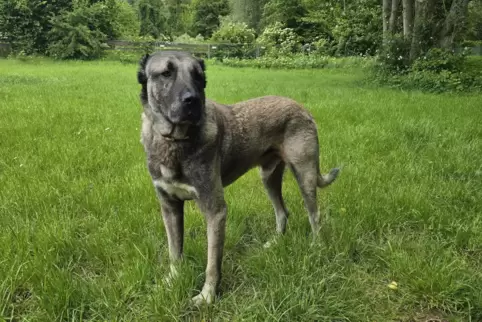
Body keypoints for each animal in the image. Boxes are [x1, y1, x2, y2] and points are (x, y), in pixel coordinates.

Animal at [136, 50, 338, 304]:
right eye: (166, 73)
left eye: (198, 76)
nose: (193, 100)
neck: (175, 141)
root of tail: (301, 107)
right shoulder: (169, 207)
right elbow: (175, 252)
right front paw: (172, 281)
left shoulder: (215, 210)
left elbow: (212, 264)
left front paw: (207, 296)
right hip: (268, 177)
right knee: (282, 212)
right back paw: (275, 243)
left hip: (305, 175)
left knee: (315, 216)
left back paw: (316, 248)